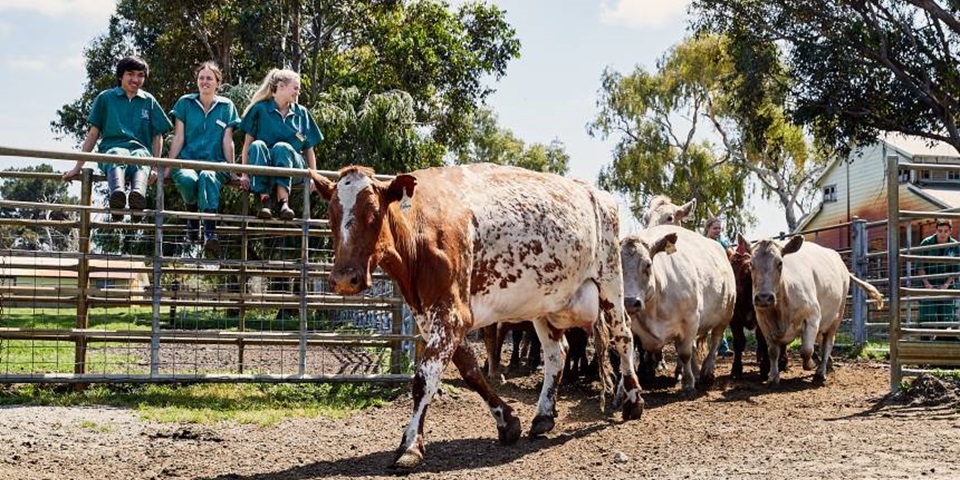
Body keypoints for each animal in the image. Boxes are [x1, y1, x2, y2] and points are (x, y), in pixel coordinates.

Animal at [314, 164, 644, 468]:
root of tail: (598, 194)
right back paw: (544, 414)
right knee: (556, 353)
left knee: (623, 337)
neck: (421, 229)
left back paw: (633, 399)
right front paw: (507, 421)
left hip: (610, 281)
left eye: (373, 211)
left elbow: (424, 378)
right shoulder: (434, 317)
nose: (345, 279)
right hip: (543, 303)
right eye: (331, 214)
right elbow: (471, 371)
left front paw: (410, 446)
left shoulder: (451, 314)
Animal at [624, 225, 736, 394]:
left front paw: (688, 383)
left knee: (715, 341)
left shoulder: (690, 320)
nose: (630, 302)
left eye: (648, 264)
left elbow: (685, 354)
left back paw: (706, 372)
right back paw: (696, 372)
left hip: (725, 316)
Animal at [744, 234, 884, 384]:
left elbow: (806, 350)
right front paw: (773, 377)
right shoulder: (764, 323)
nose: (764, 297)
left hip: (836, 316)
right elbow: (773, 351)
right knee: (821, 340)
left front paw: (811, 364)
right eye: (751, 264)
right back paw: (828, 363)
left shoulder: (812, 317)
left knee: (828, 343)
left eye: (780, 263)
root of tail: (843, 268)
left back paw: (821, 371)